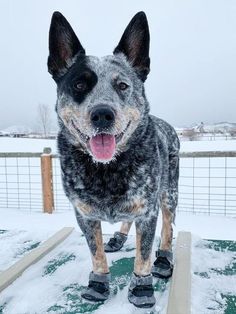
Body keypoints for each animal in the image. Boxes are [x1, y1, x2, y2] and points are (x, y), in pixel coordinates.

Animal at [48, 11, 180, 308]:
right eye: (79, 84)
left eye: (122, 85)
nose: (102, 114)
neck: (106, 170)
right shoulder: (84, 214)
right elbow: (96, 252)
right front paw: (98, 284)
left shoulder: (147, 211)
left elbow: (143, 256)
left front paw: (142, 289)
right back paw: (118, 238)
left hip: (169, 193)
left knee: (168, 227)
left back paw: (164, 259)